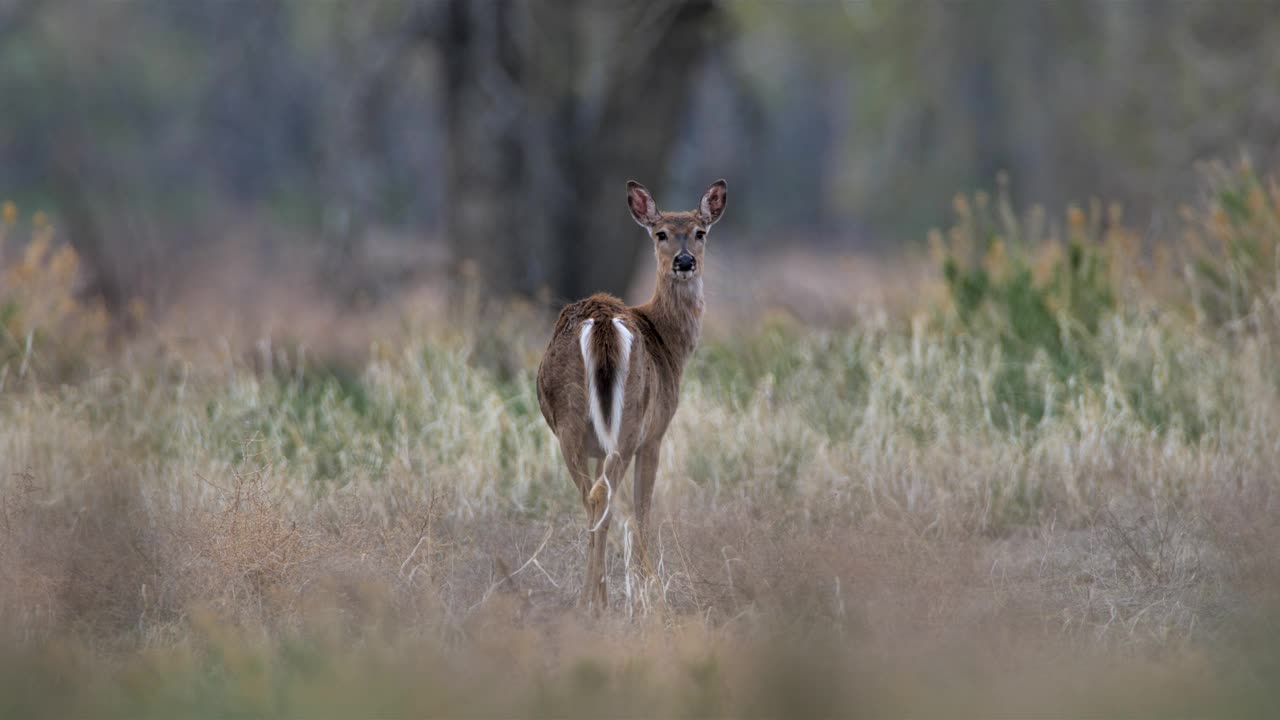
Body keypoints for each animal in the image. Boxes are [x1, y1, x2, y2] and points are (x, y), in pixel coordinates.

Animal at [535, 178, 727, 604]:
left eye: (700, 232)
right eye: (661, 233)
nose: (684, 261)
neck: (669, 343)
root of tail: (602, 321)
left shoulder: (596, 445)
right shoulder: (655, 434)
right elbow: (642, 510)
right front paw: (651, 586)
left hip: (571, 420)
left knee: (592, 497)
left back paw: (591, 597)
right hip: (630, 420)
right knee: (605, 498)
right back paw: (599, 600)